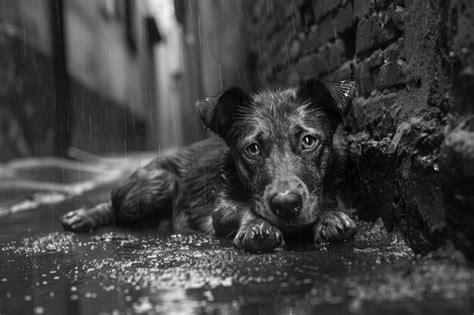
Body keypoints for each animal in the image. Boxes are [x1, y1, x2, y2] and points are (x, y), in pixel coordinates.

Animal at [61, 80, 358, 253]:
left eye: (308, 141)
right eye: (253, 149)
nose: (286, 204)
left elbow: (328, 200)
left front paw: (330, 217)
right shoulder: (221, 208)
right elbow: (240, 210)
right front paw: (255, 226)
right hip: (159, 181)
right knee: (114, 207)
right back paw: (84, 216)